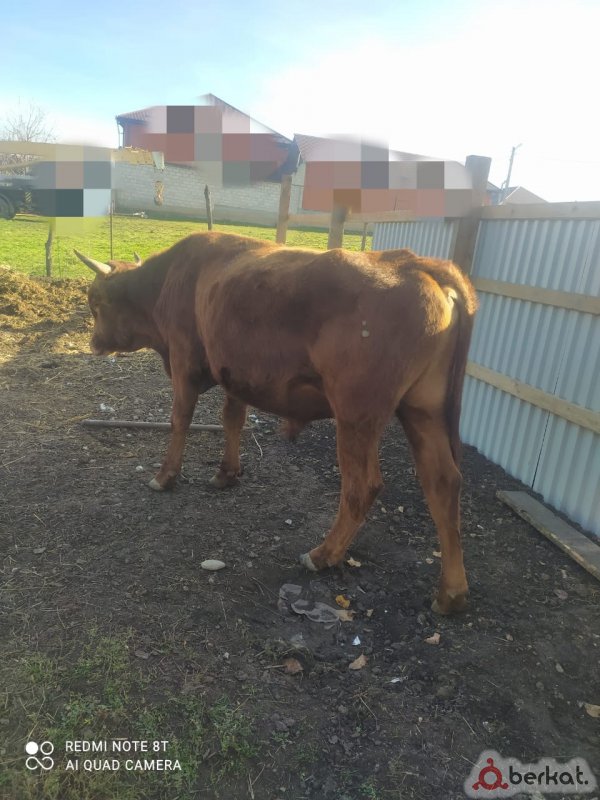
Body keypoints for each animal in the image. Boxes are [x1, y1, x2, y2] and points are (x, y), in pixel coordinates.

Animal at [74, 232, 478, 614]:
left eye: (95, 302)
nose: (93, 343)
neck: (167, 279)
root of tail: (415, 263)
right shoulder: (234, 372)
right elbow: (232, 420)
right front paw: (226, 473)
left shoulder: (183, 361)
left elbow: (180, 420)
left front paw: (165, 476)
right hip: (423, 411)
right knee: (443, 483)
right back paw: (452, 594)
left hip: (356, 416)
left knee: (362, 486)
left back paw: (322, 555)